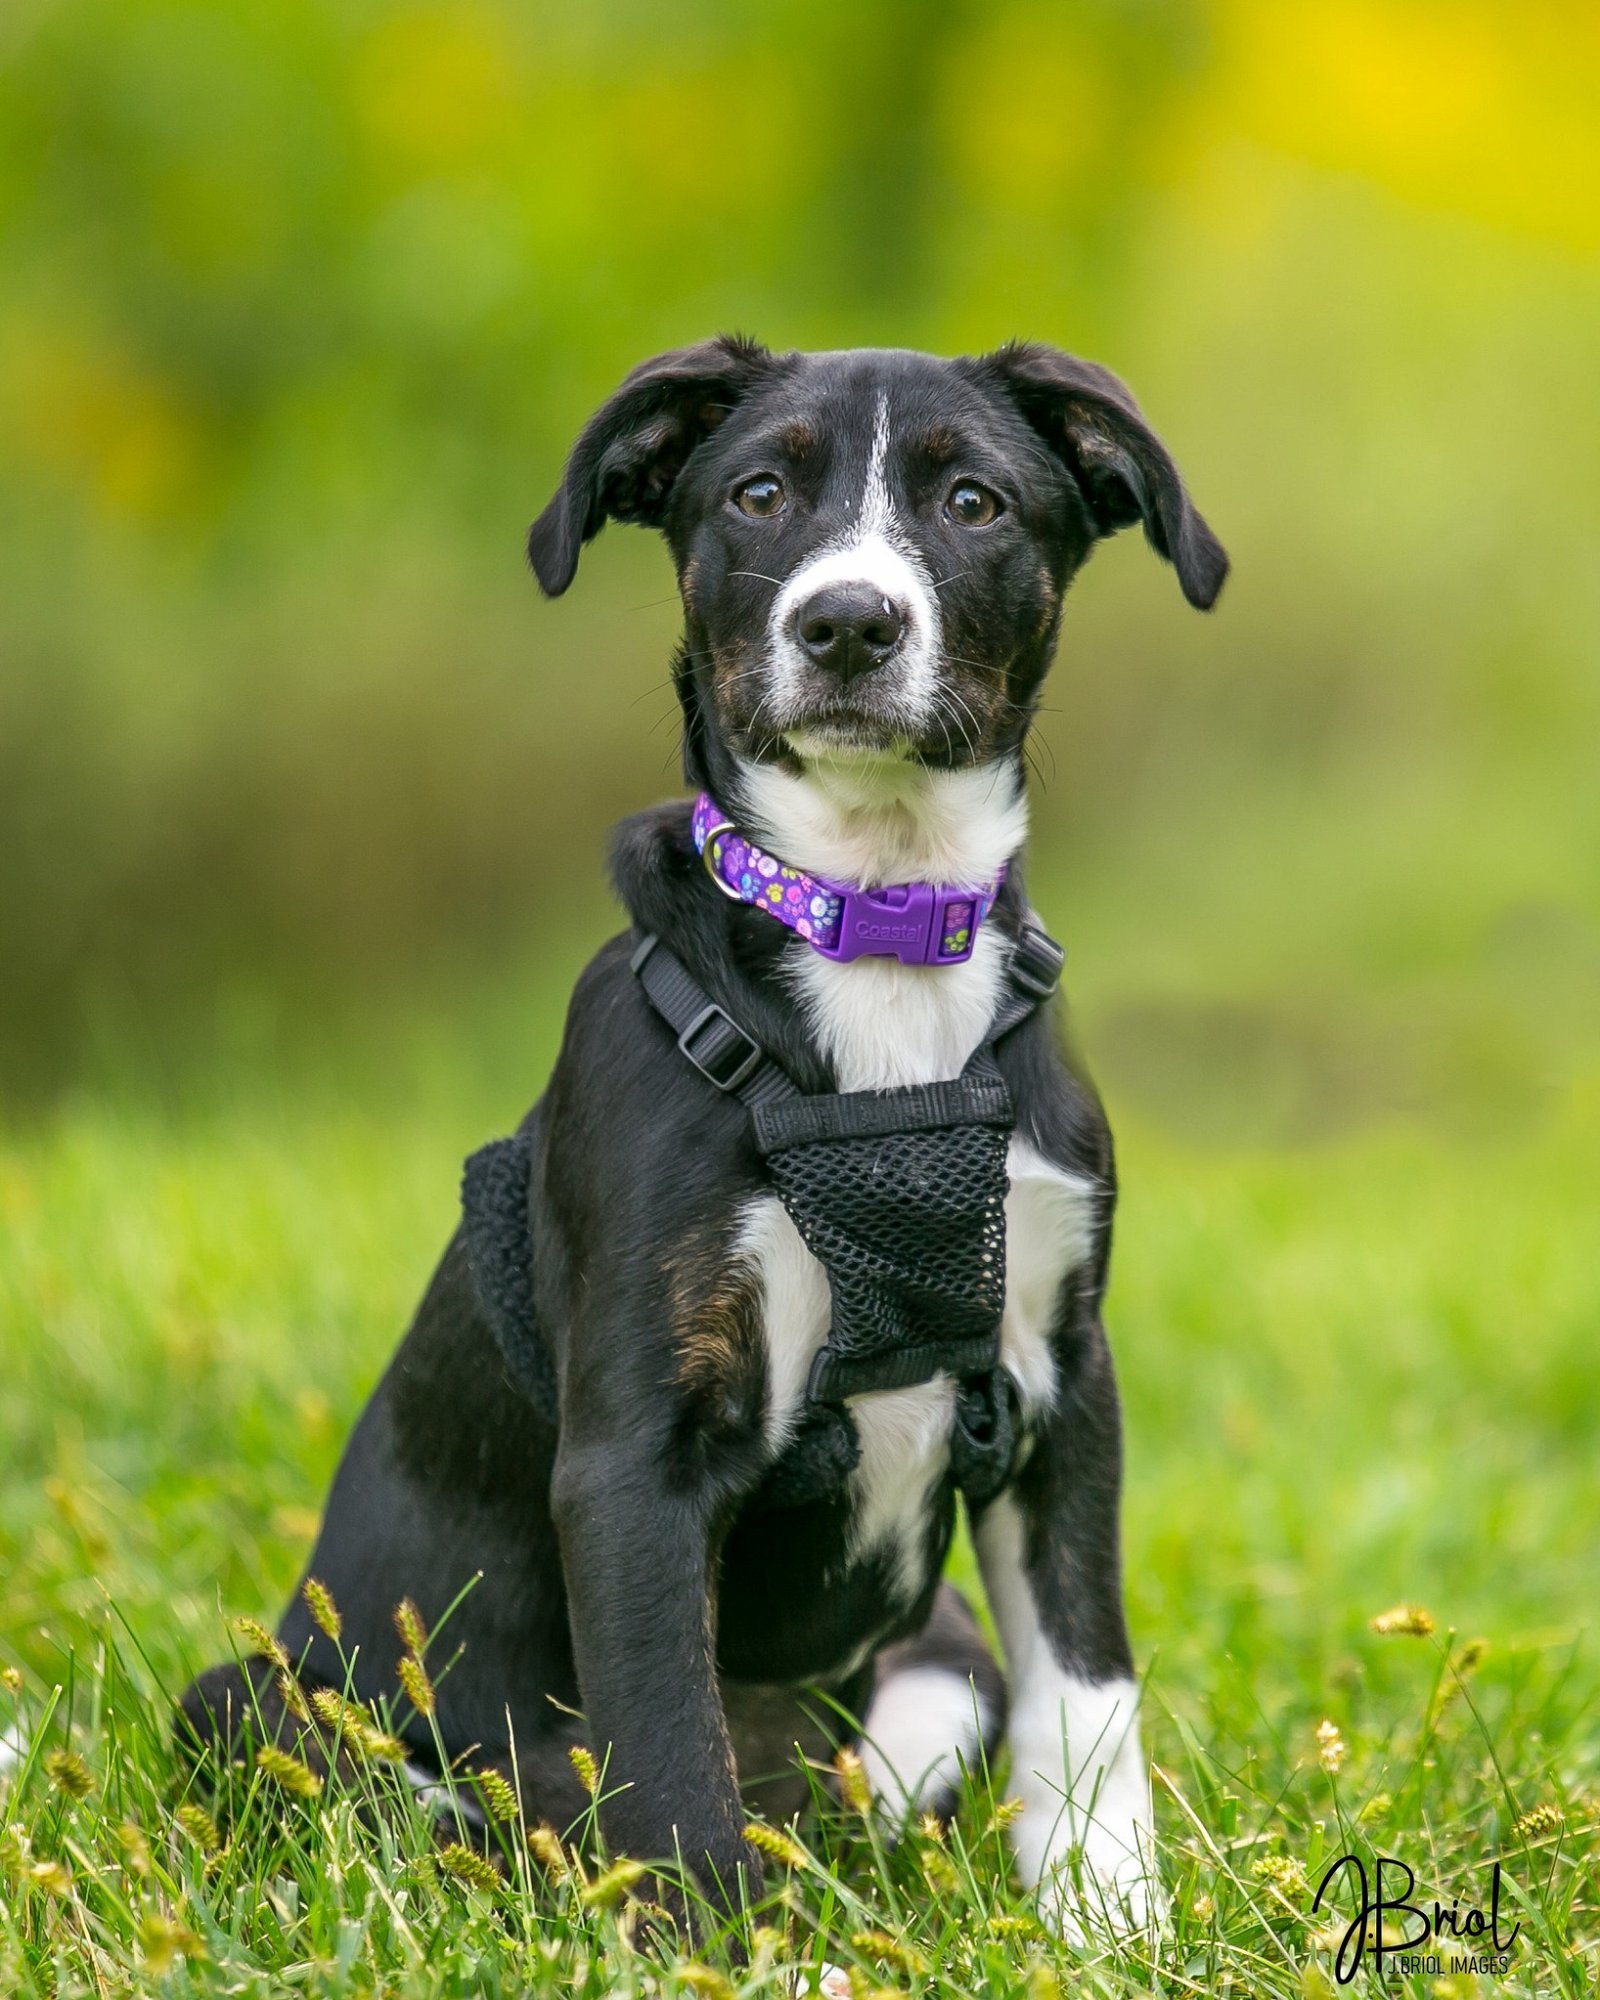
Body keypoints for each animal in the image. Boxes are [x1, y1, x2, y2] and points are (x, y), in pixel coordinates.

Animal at [181, 336, 1226, 1936]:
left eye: (973, 501)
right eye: (757, 493)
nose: (848, 623)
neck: (874, 928)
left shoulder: (1064, 1386)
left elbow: (1088, 1695)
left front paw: (1109, 1924)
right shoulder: (635, 1453)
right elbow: (667, 1746)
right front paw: (714, 1949)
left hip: (938, 1659)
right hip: (260, 1703)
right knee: (446, 1795)